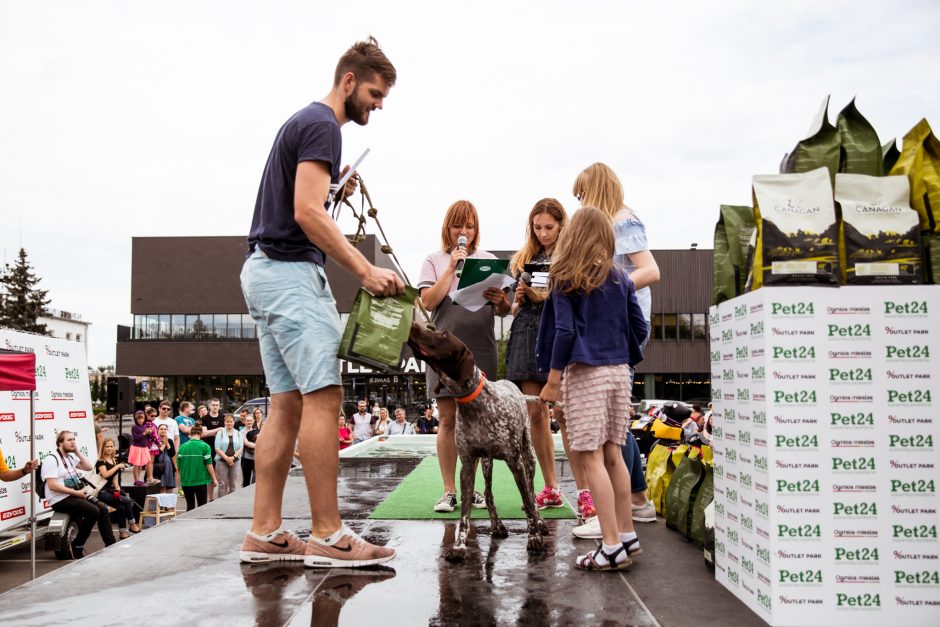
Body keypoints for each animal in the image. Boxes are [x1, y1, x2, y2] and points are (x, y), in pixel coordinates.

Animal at [408, 322, 548, 560]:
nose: (415, 324)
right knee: (489, 494)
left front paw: (534, 537)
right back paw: (497, 525)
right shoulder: (467, 463)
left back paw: (539, 523)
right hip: (486, 462)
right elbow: (464, 514)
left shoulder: (515, 462)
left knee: (530, 494)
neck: (475, 405)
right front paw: (459, 546)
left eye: (442, 334)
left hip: (528, 457)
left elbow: (528, 502)